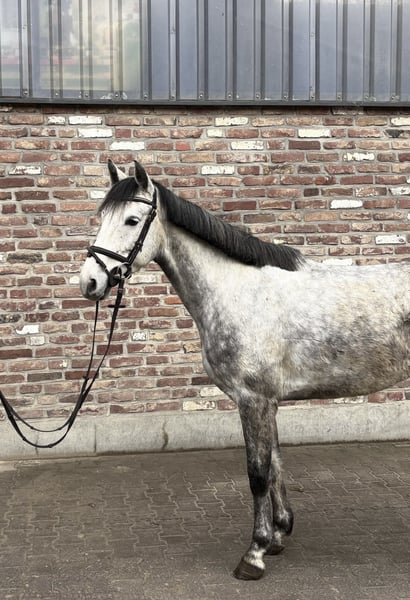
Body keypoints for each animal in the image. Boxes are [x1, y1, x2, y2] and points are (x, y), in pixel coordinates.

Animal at [80, 159, 410, 580]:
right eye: (101, 217)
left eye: (132, 220)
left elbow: (257, 473)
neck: (238, 290)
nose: (89, 281)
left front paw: (254, 553)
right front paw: (279, 534)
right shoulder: (268, 401)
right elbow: (275, 465)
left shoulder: (251, 398)